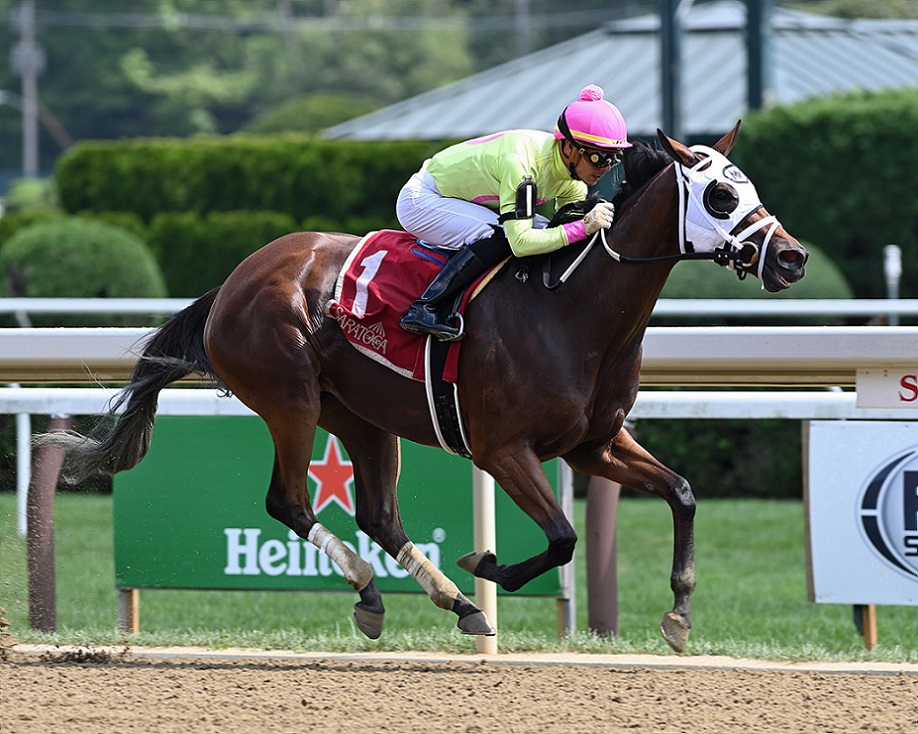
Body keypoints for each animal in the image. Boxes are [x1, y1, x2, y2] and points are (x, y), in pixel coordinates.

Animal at [40, 124, 807, 652]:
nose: (793, 258)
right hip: (290, 398)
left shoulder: (593, 444)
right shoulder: (503, 448)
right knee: (289, 501)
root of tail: (232, 282)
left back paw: (445, 603)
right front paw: (489, 564)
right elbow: (562, 537)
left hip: (361, 416)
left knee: (380, 514)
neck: (572, 309)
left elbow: (682, 492)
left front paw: (678, 612)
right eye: (720, 194)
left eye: (750, 188)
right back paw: (386, 591)